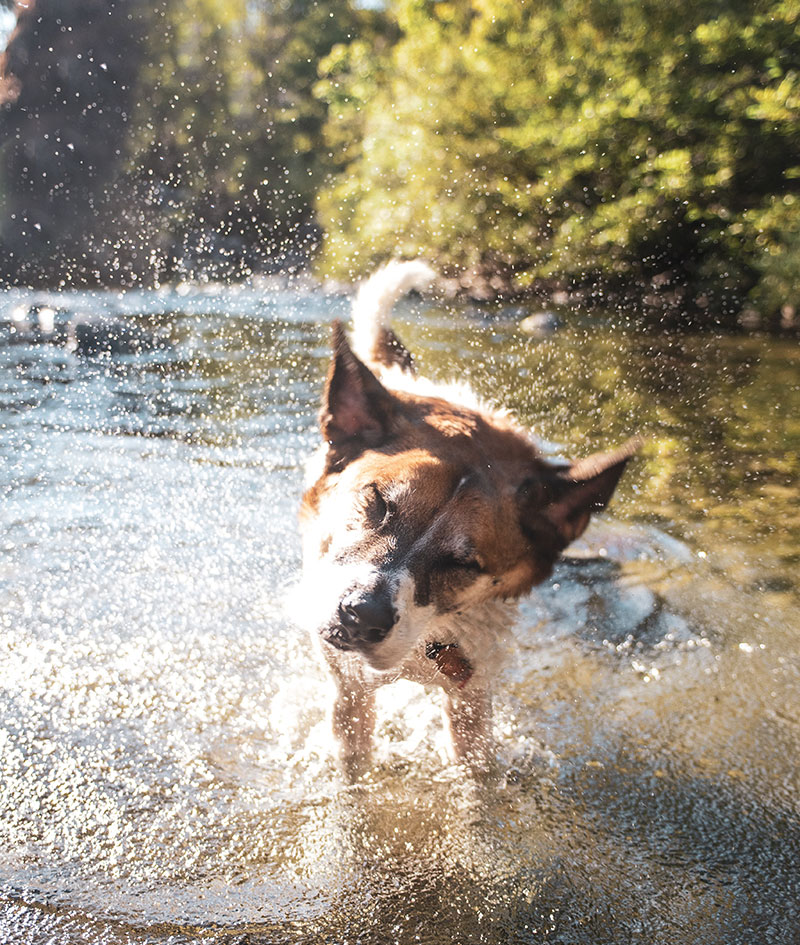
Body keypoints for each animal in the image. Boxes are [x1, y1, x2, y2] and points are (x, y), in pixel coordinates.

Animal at [298, 260, 636, 776]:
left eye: (464, 563)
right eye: (377, 501)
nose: (361, 617)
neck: (426, 639)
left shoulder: (472, 695)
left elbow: (476, 770)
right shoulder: (349, 687)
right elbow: (353, 755)